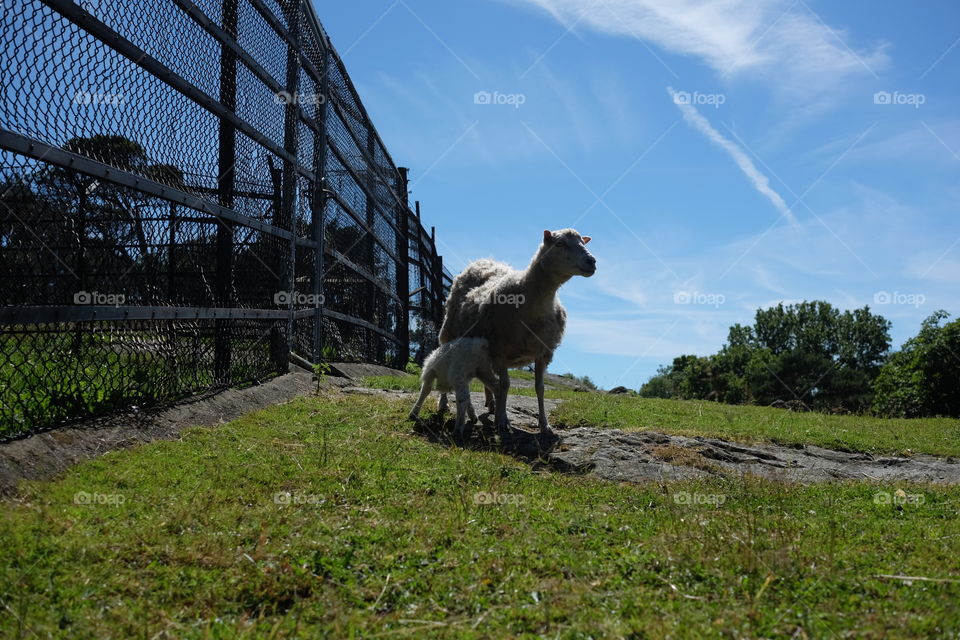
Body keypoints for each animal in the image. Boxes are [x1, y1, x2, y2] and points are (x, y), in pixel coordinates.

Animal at [438, 228, 596, 434]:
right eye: (560, 243)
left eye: (583, 243)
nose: (592, 261)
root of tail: (481, 261)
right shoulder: (500, 350)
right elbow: (505, 385)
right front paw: (503, 421)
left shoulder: (543, 353)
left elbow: (539, 387)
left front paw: (544, 425)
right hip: (449, 334)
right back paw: (444, 404)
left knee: (489, 379)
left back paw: (491, 403)